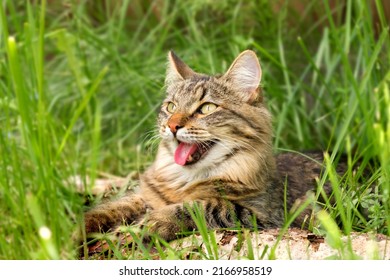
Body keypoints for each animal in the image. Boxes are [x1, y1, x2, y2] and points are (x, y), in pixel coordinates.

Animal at [83, 49, 338, 243]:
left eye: (206, 108)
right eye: (171, 107)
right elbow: (109, 208)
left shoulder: (263, 213)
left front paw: (150, 223)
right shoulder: (143, 195)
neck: (185, 179)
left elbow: (201, 206)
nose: (172, 125)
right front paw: (78, 230)